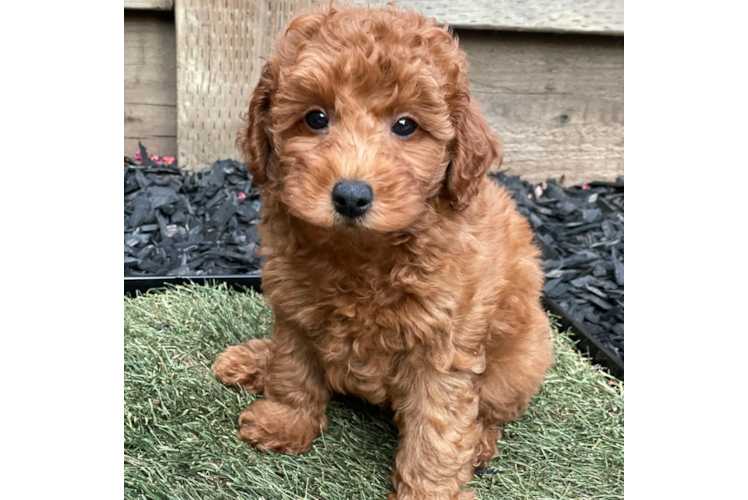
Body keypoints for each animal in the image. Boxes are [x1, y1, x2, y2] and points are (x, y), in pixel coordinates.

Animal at [213, 4, 552, 500]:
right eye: (315, 118)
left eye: (406, 125)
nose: (351, 196)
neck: (363, 253)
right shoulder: (295, 306)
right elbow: (293, 369)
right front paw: (286, 422)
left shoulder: (443, 347)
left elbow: (437, 430)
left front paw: (431, 491)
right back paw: (254, 360)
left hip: (523, 358)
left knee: (491, 410)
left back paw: (481, 443)